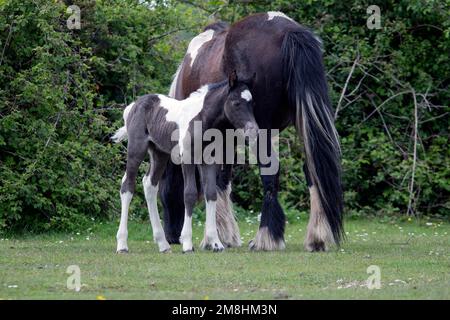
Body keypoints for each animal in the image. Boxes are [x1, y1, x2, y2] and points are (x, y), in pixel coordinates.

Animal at [111, 74, 256, 254]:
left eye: (252, 103)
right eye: (236, 103)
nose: (253, 131)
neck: (202, 120)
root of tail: (132, 106)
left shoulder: (209, 160)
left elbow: (211, 194)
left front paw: (215, 243)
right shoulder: (187, 158)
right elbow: (189, 194)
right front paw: (187, 243)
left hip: (159, 153)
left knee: (150, 185)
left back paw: (163, 244)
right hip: (136, 150)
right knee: (127, 186)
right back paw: (122, 244)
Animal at [163, 11, 344, 251]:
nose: (171, 237)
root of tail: (289, 31)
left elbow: (214, 179)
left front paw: (216, 236)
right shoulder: (226, 137)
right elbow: (222, 179)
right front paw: (226, 236)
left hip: (264, 130)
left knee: (270, 173)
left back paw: (266, 238)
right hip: (304, 124)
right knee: (312, 169)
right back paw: (317, 237)